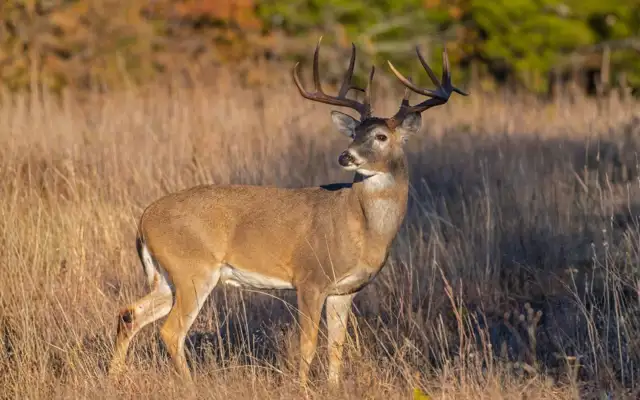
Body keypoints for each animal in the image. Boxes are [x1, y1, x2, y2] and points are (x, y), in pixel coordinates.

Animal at [108, 38, 467, 388]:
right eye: (354, 134)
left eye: (380, 136)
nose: (346, 156)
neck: (361, 228)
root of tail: (144, 220)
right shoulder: (310, 278)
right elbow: (308, 343)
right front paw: (302, 387)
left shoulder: (345, 290)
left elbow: (337, 345)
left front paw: (332, 388)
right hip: (193, 268)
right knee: (171, 331)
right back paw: (190, 385)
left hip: (167, 275)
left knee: (130, 313)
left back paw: (116, 377)